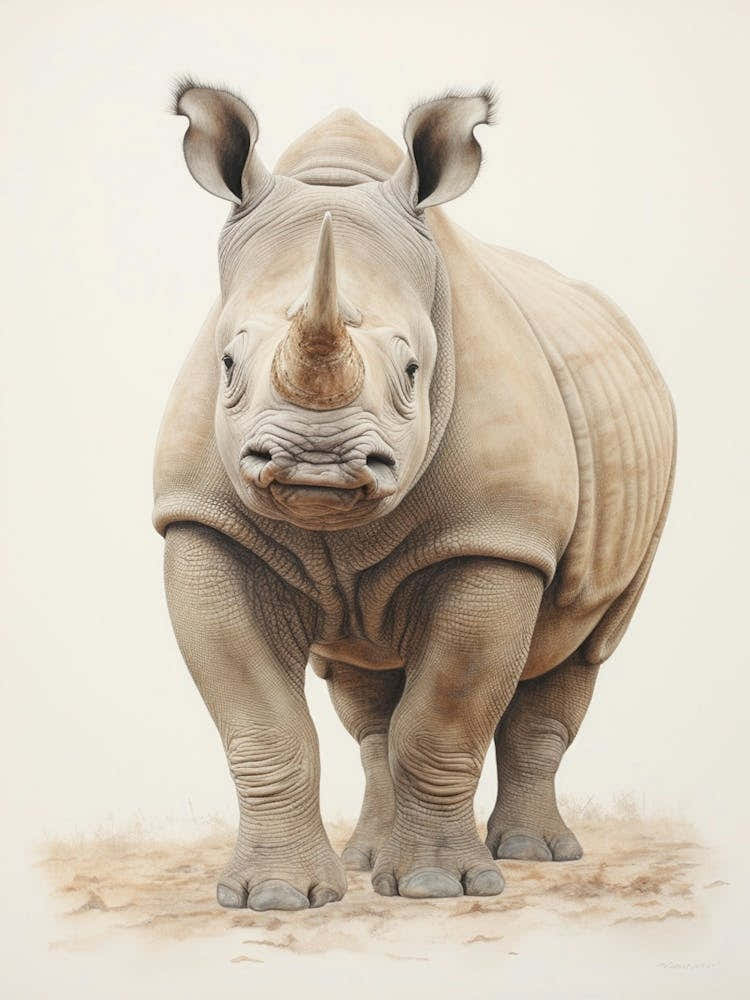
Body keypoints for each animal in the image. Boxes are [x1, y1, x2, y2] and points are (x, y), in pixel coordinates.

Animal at [154, 80, 676, 912]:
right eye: (227, 362)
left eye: (411, 371)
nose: (317, 463)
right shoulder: (205, 524)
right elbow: (263, 725)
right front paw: (275, 899)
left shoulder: (496, 538)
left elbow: (443, 719)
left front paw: (440, 887)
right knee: (365, 694)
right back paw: (367, 859)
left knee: (584, 644)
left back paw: (535, 856)